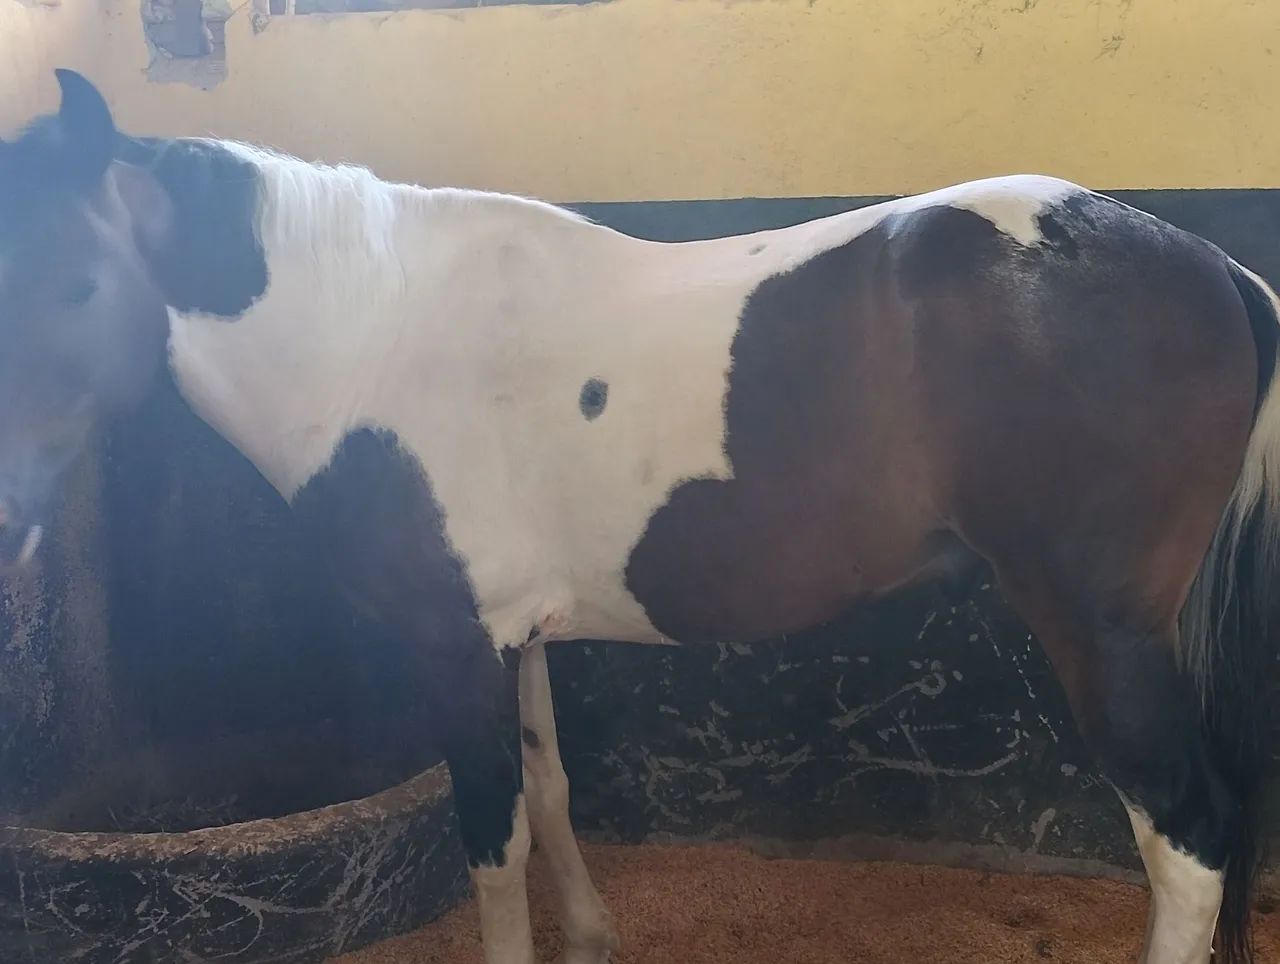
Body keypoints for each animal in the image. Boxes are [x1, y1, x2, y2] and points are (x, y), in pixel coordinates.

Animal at [0, 68, 1276, 964]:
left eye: (77, 279)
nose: (15, 521)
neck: (375, 336)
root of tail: (1214, 268)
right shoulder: (513, 637)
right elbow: (551, 789)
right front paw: (595, 937)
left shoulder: (451, 646)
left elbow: (494, 838)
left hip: (1099, 634)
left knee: (1186, 844)